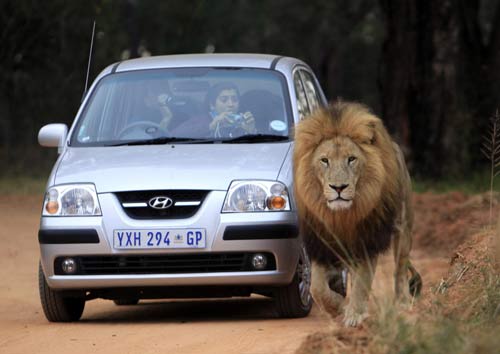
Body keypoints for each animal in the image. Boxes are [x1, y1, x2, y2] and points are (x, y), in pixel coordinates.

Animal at [292, 99, 422, 326]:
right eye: (324, 160)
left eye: (351, 159)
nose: (338, 187)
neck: (341, 216)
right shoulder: (321, 242)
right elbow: (317, 288)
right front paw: (338, 308)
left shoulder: (367, 241)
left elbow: (362, 282)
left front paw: (353, 315)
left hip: (403, 227)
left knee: (399, 268)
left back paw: (403, 303)